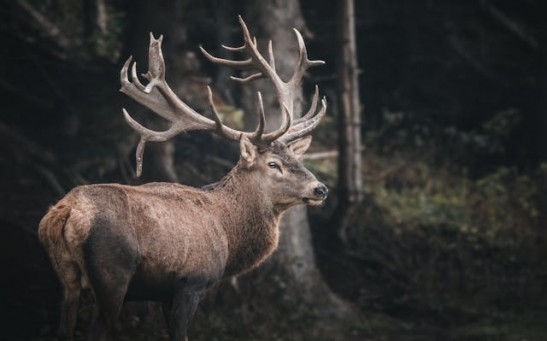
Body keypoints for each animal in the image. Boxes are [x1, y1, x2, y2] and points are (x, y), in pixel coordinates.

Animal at [39, 16, 330, 340]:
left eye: (297, 159)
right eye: (273, 164)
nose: (320, 189)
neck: (228, 235)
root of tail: (65, 212)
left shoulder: (160, 295)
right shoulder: (191, 282)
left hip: (65, 276)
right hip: (112, 272)